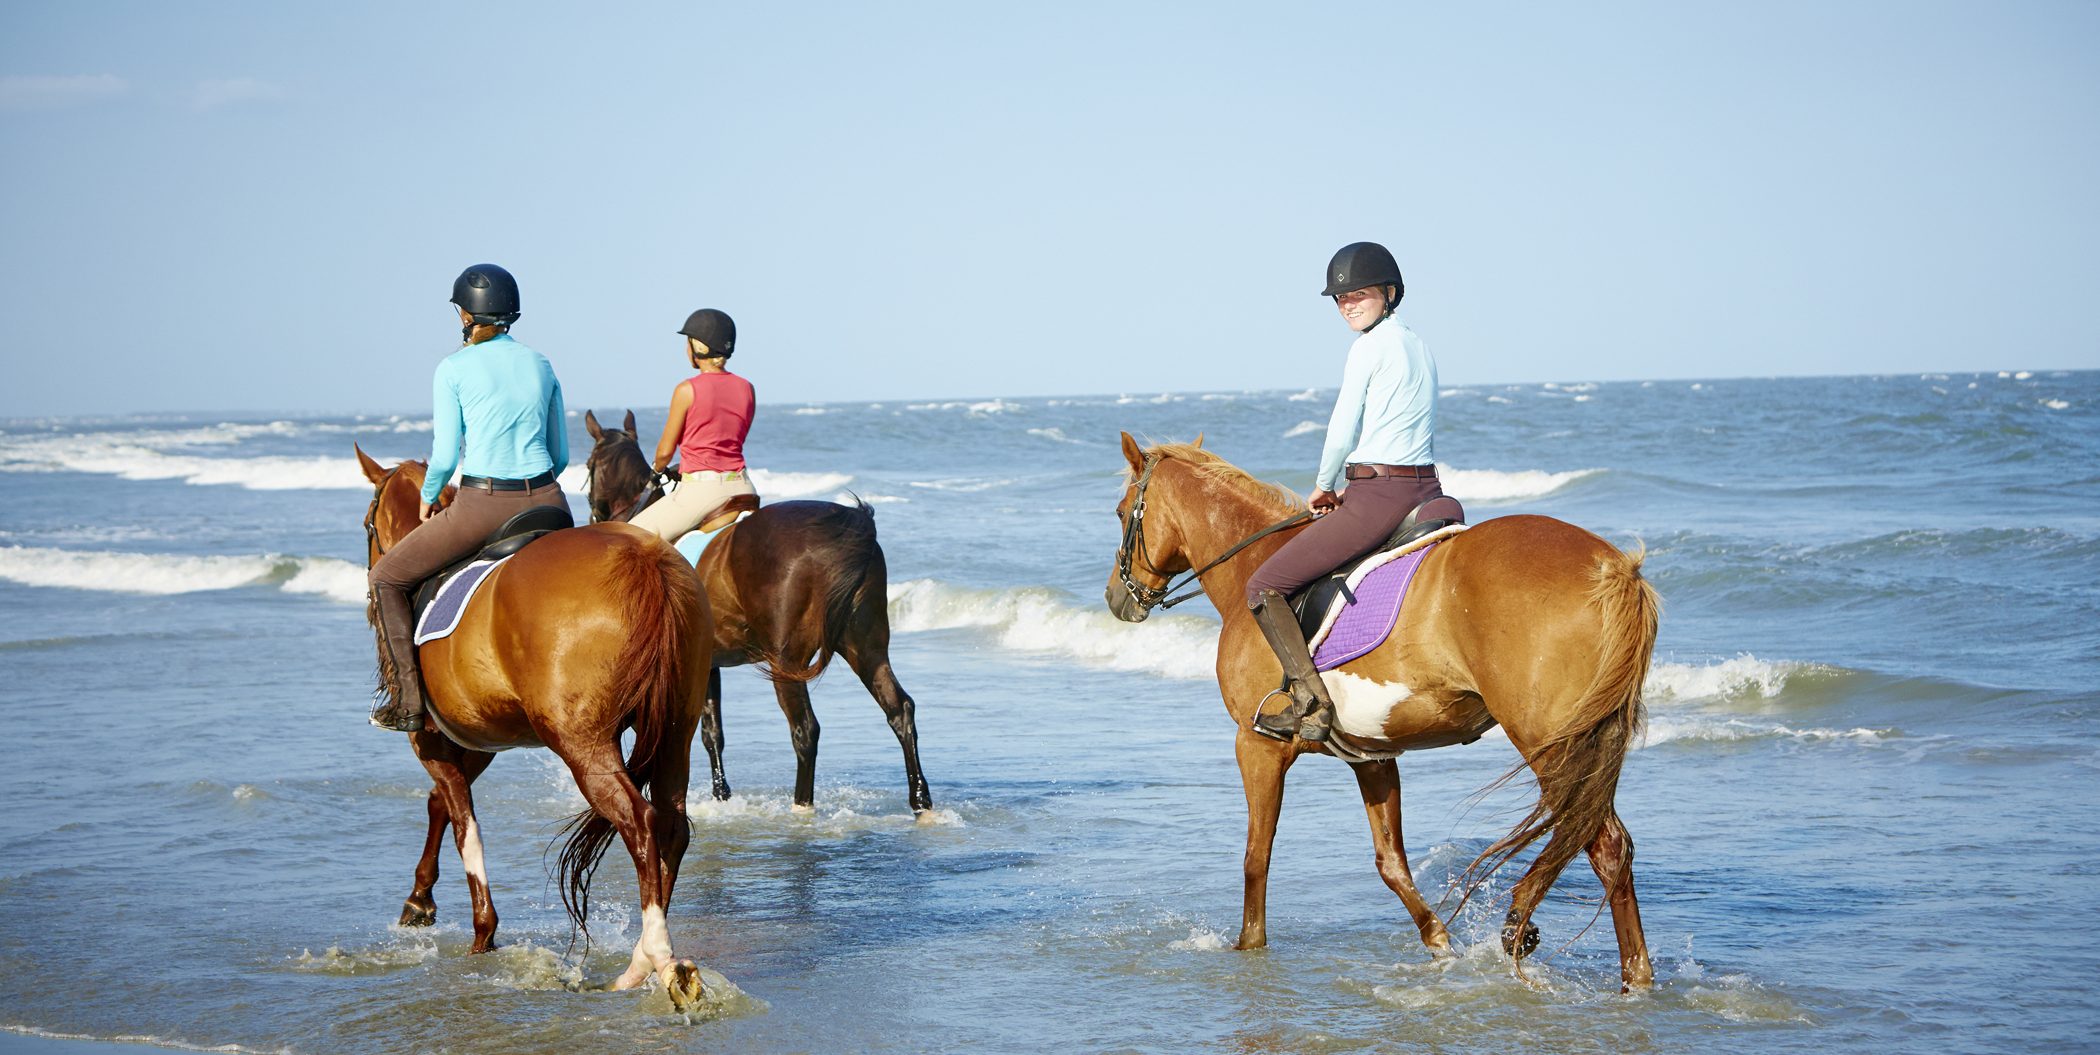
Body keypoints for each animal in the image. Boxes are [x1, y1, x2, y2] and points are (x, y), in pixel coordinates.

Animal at [355, 445, 714, 1009]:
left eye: (368, 525)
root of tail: (646, 561)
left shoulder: (431, 740)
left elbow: (465, 826)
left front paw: (482, 935)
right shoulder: (479, 740)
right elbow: (442, 806)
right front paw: (420, 901)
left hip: (583, 744)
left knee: (640, 821)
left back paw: (655, 957)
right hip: (675, 730)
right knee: (673, 824)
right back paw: (639, 960)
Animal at [580, 410, 933, 816]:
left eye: (588, 466)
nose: (592, 518)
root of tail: (850, 527)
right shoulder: (706, 663)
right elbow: (711, 732)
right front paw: (721, 795)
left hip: (789, 661)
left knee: (805, 729)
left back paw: (802, 807)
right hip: (867, 647)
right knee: (899, 709)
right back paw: (921, 802)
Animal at [1104, 434, 1659, 992]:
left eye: (1121, 512)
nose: (1115, 599)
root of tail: (1612, 567)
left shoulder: (1256, 744)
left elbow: (1256, 856)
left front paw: (1249, 946)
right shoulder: (1371, 755)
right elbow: (1391, 862)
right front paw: (1439, 942)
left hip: (1552, 743)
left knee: (1602, 843)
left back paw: (1554, 943)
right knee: (1609, 846)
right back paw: (1634, 977)